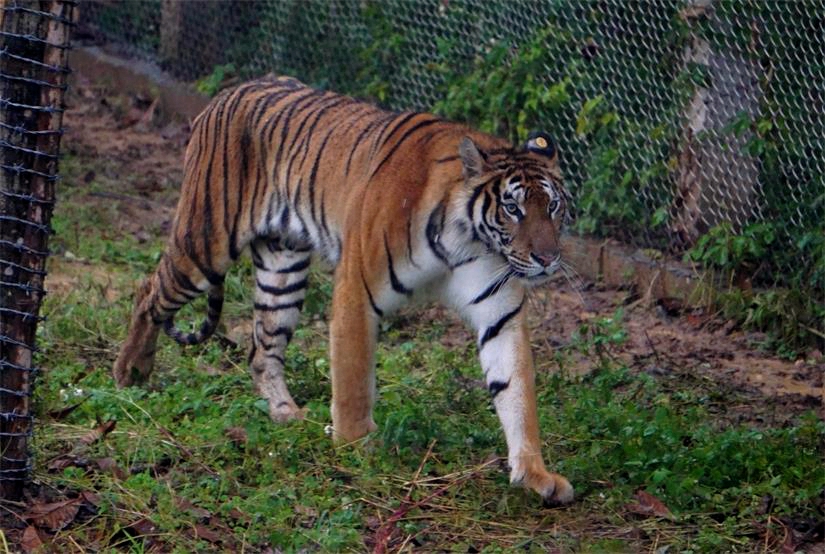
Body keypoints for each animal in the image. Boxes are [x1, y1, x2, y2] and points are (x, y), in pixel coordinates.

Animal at [113, 75, 574, 506]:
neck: (468, 238)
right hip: (206, 242)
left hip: (282, 271)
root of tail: (233, 90)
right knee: (148, 290)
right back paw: (131, 372)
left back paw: (286, 413)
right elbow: (353, 378)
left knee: (262, 349)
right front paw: (356, 446)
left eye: (552, 206)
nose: (547, 257)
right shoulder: (358, 289)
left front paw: (535, 474)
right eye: (512, 209)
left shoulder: (499, 312)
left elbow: (516, 390)